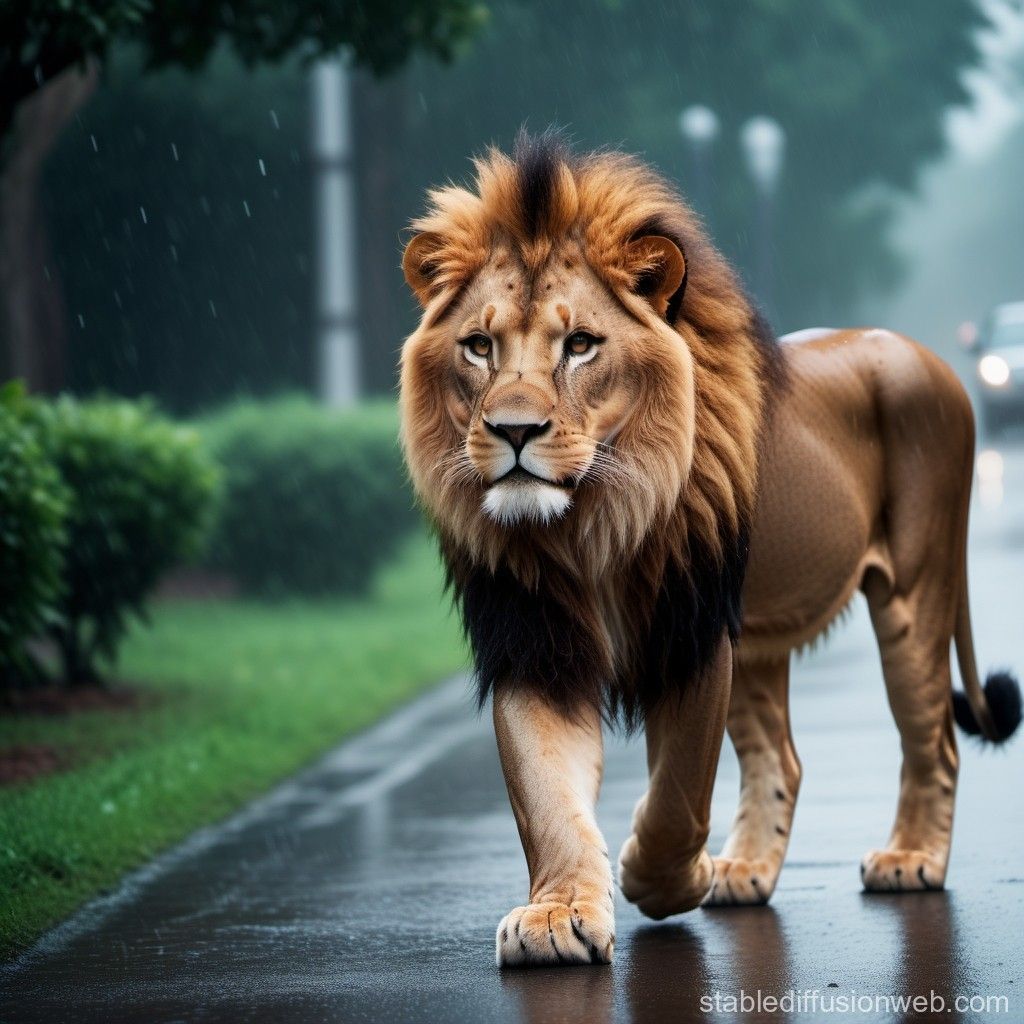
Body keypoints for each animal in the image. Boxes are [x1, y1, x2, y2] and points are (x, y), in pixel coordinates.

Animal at [398, 130, 1022, 968]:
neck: (590, 524)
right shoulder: (535, 639)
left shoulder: (690, 627)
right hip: (757, 636)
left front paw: (664, 876)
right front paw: (558, 915)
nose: (514, 431)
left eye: (581, 345)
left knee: (936, 739)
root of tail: (929, 358)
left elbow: (679, 793)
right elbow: (546, 795)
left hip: (917, 587)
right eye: (477, 347)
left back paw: (910, 859)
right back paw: (747, 872)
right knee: (780, 758)